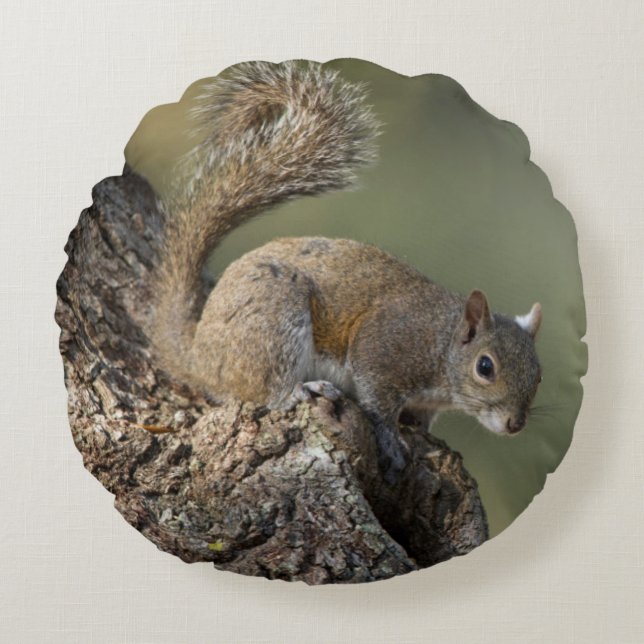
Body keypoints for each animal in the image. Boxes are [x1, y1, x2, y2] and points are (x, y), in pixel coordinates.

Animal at [149, 61, 543, 482]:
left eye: (539, 374)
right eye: (485, 367)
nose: (515, 424)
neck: (441, 344)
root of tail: (198, 355)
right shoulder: (384, 348)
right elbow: (378, 402)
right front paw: (392, 440)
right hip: (274, 320)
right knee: (261, 390)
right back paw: (299, 390)